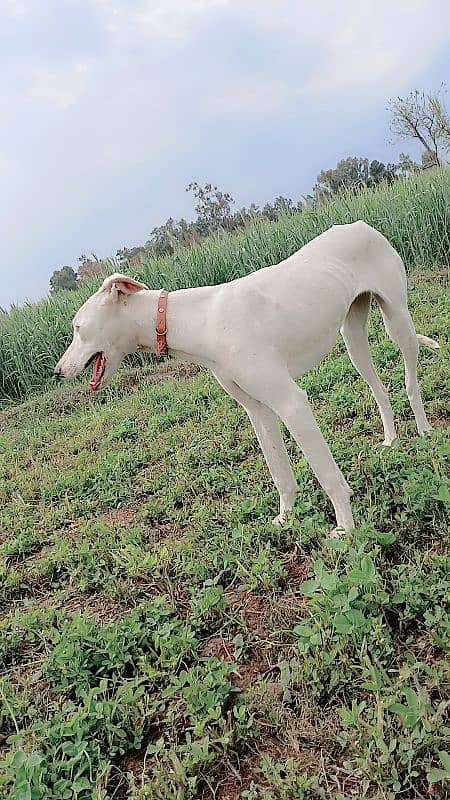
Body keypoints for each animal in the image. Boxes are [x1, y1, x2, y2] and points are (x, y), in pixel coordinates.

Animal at [54, 219, 438, 532]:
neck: (199, 319)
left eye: (77, 328)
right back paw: (390, 440)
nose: (58, 371)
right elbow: (280, 473)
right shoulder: (258, 410)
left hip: (397, 322)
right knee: (379, 390)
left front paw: (345, 529)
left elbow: (327, 474)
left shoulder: (292, 403)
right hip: (353, 338)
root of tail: (360, 225)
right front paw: (285, 518)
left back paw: (424, 432)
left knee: (410, 382)